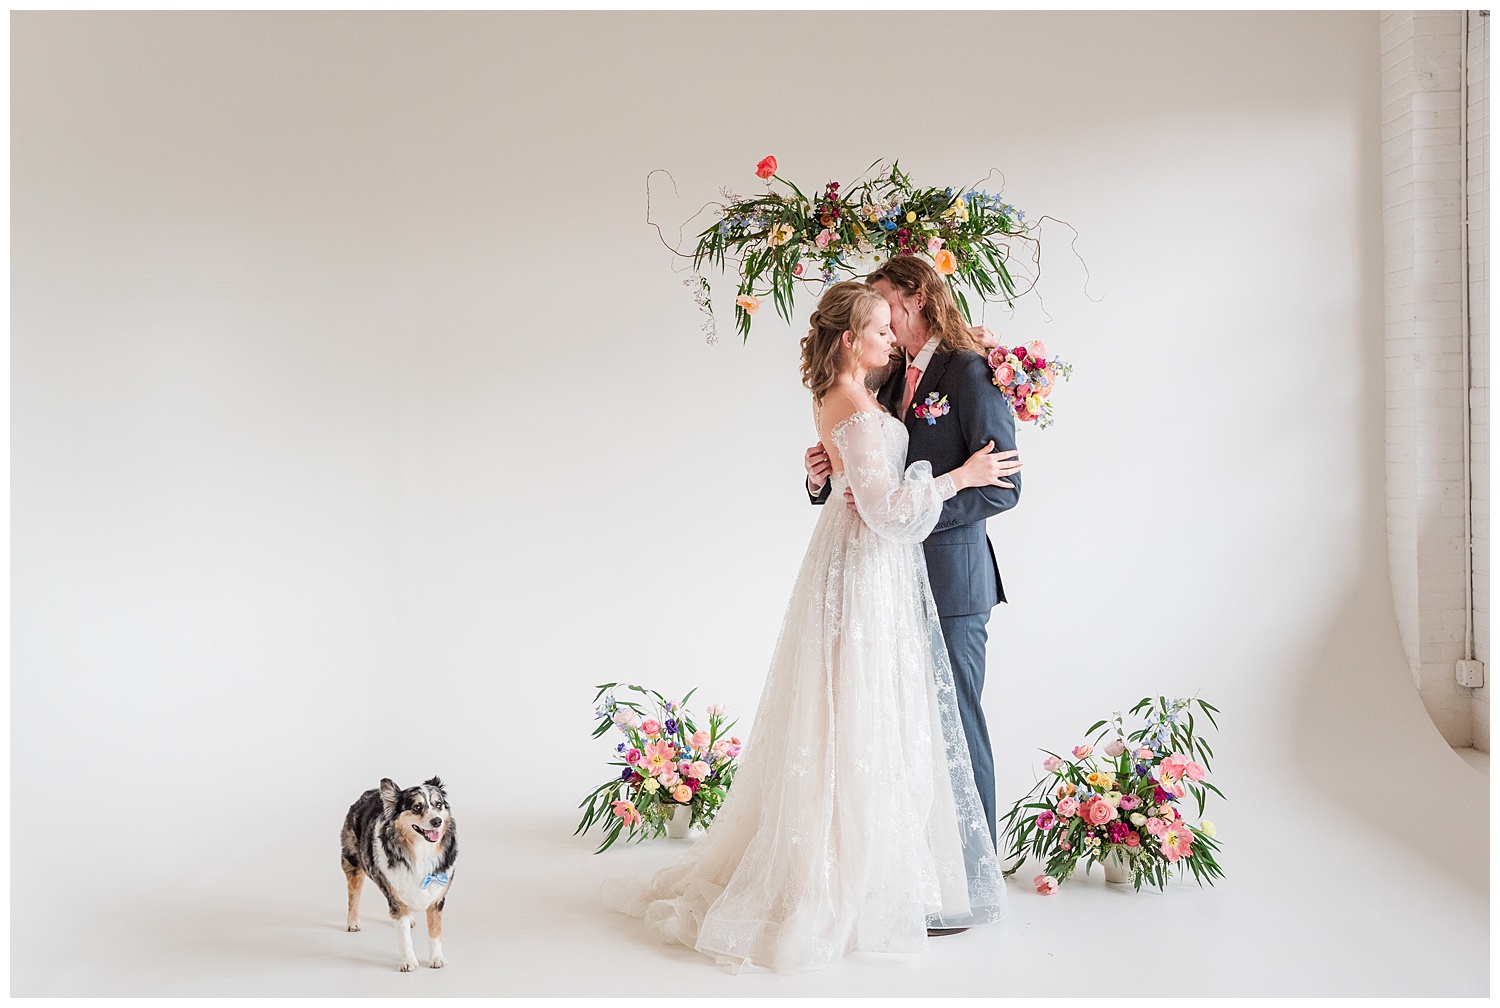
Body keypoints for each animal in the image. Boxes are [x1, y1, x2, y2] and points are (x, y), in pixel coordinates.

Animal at [340, 774, 456, 972]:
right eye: (417, 807)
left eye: (438, 804)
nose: (437, 821)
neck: (421, 851)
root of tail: (370, 792)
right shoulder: (396, 900)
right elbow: (404, 937)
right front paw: (408, 962)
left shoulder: (437, 899)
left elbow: (435, 932)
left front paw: (437, 959)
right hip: (353, 865)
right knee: (353, 895)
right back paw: (353, 922)